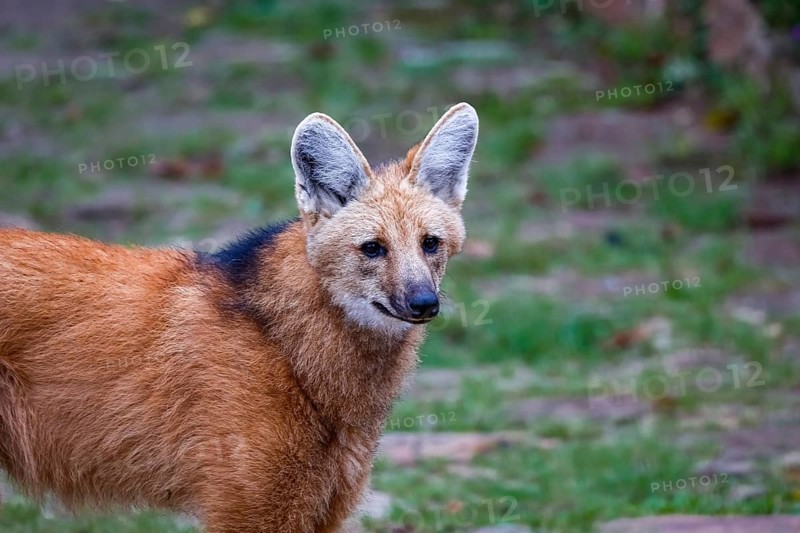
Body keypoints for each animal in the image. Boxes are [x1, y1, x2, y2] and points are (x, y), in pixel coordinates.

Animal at [0, 102, 479, 532]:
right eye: (373, 248)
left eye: (430, 243)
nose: (424, 303)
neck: (290, 351)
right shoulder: (252, 509)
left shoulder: (321, 506)